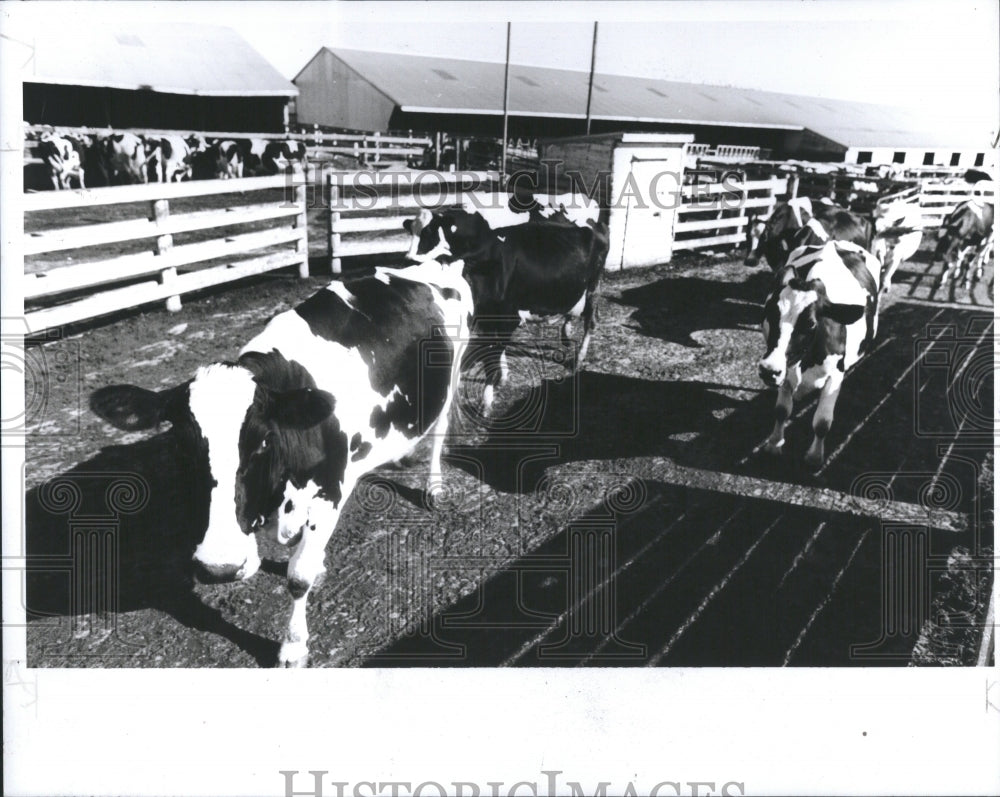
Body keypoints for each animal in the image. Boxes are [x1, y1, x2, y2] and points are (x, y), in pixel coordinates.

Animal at [90, 262, 472, 664]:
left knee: (440, 430)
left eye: (262, 442)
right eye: (182, 445)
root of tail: (434, 263)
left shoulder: (329, 493)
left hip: (452, 376)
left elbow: (297, 577)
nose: (220, 567)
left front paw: (293, 646)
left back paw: (434, 487)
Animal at [400, 205, 604, 414]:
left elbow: (495, 352)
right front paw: (502, 376)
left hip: (593, 287)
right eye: (411, 232)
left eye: (430, 232)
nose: (408, 260)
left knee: (591, 321)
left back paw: (579, 358)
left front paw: (487, 400)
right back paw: (566, 335)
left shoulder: (508, 316)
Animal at [756, 239, 884, 470]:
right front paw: (774, 444)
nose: (769, 370)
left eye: (810, 324)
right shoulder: (787, 371)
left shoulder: (835, 376)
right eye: (769, 314)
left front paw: (814, 457)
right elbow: (781, 410)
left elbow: (822, 422)